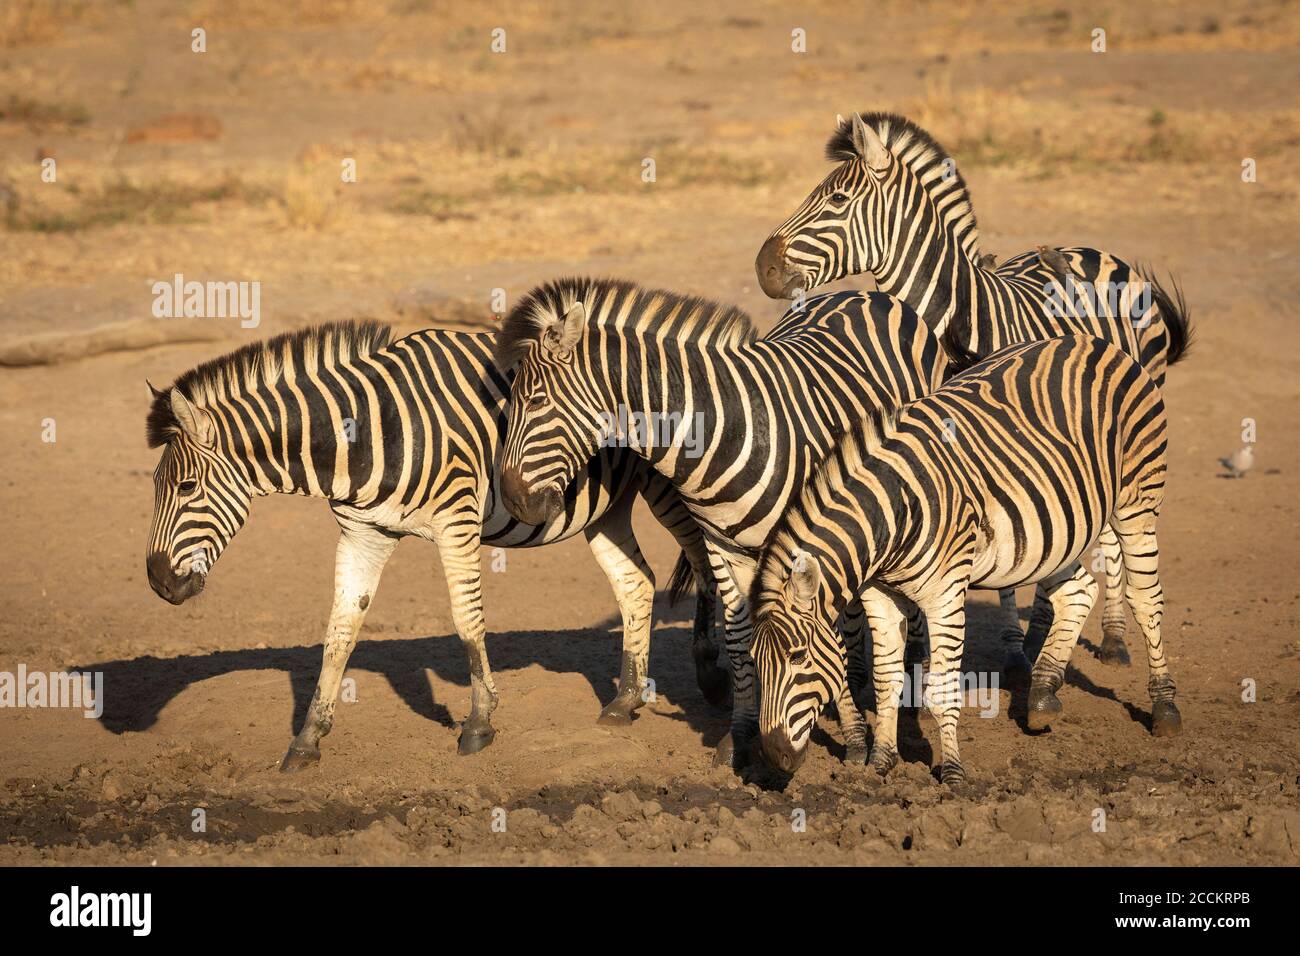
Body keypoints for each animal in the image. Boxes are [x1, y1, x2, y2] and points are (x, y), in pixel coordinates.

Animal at [147, 319, 728, 770]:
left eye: (187, 488)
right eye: (156, 487)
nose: (158, 583)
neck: (369, 434)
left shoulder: (457, 523)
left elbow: (466, 621)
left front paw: (478, 723)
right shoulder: (363, 534)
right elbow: (339, 633)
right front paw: (308, 739)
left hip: (679, 486)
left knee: (705, 566)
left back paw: (711, 675)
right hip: (609, 505)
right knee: (637, 583)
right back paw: (626, 699)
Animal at [488, 277, 946, 770]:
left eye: (536, 401)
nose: (515, 502)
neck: (719, 435)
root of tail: (865, 294)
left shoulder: (810, 544)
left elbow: (825, 639)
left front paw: (856, 737)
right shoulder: (723, 549)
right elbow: (743, 641)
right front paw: (740, 737)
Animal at [748, 335, 1185, 785]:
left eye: (798, 657)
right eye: (754, 662)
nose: (774, 756)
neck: (893, 510)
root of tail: (1091, 341)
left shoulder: (945, 595)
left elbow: (941, 693)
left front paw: (953, 774)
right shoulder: (879, 596)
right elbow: (886, 680)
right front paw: (880, 762)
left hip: (1137, 502)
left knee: (1145, 599)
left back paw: (1164, 709)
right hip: (1057, 529)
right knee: (1078, 592)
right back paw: (1042, 696)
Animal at [754, 111, 1190, 676]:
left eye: (837, 200)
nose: (763, 268)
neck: (966, 319)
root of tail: (1095, 251)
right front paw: (1006, 646)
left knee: (1115, 532)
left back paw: (1113, 636)